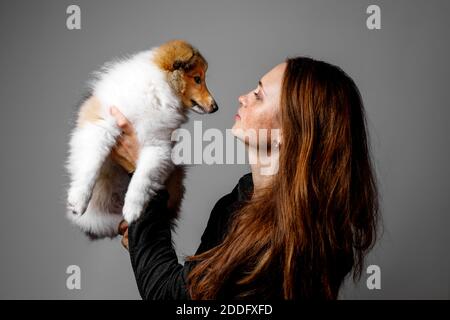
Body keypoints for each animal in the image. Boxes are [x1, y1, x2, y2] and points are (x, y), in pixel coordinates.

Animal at [64, 39, 216, 238]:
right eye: (197, 79)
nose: (215, 107)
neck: (158, 92)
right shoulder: (100, 125)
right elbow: (91, 164)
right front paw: (78, 201)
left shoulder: (157, 146)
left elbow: (142, 178)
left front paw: (133, 211)